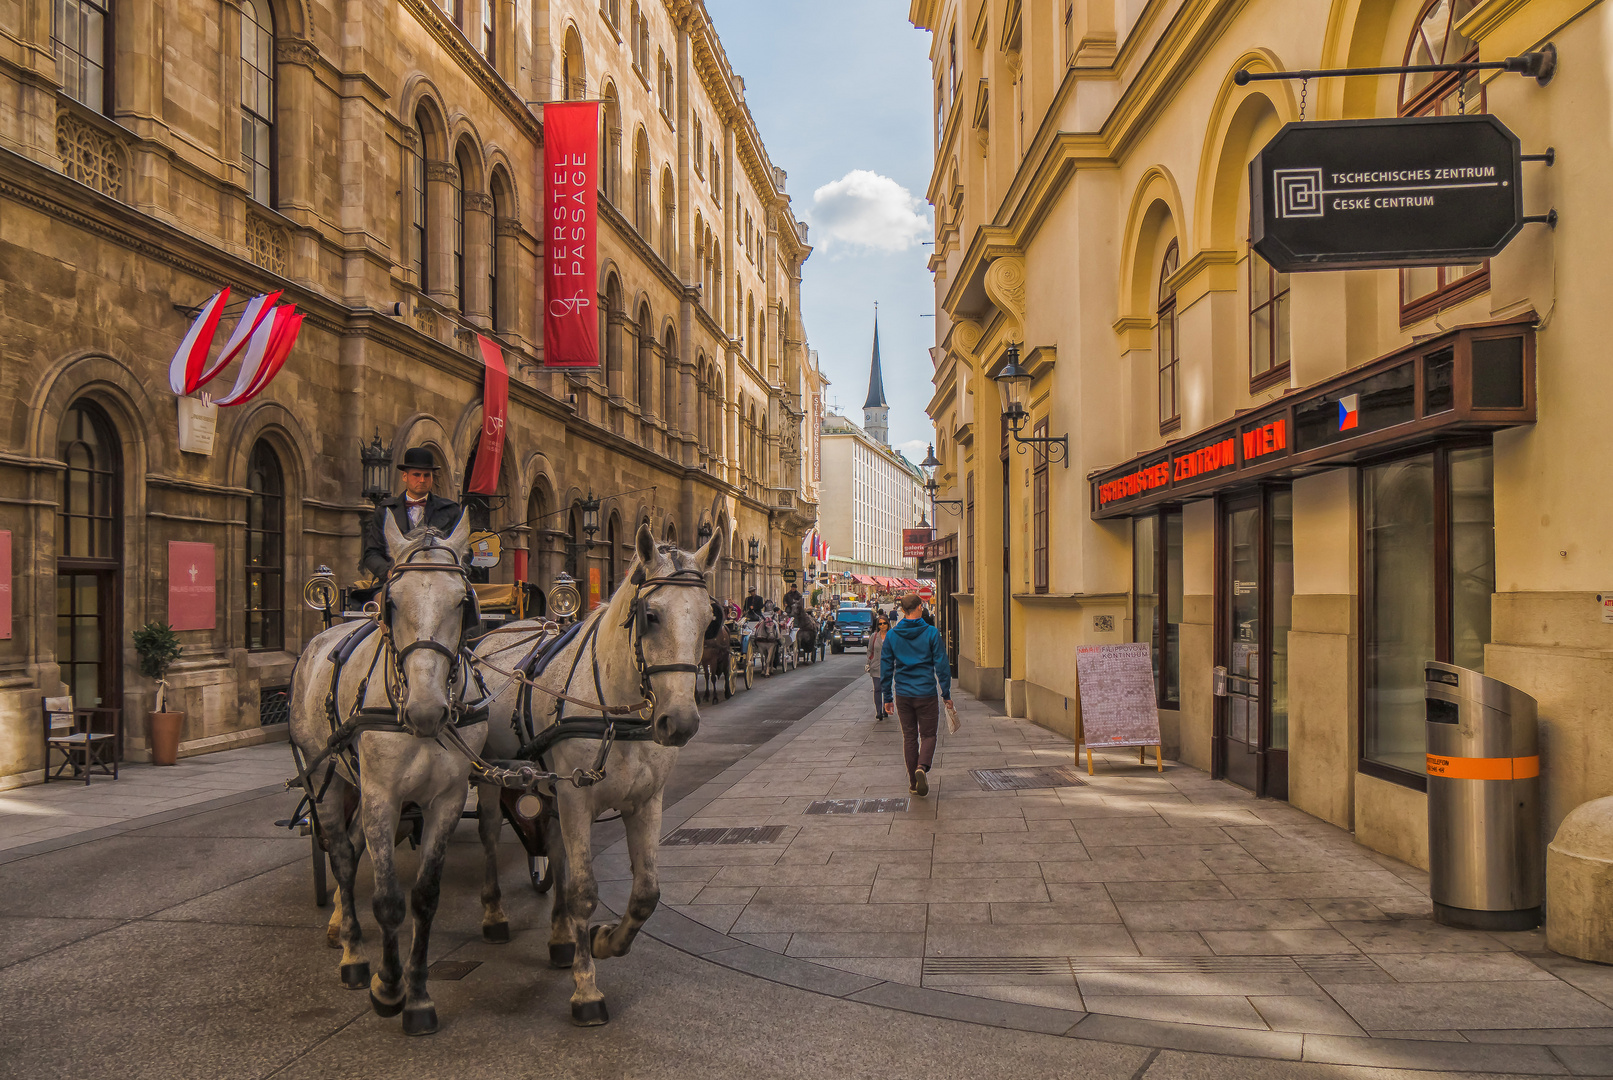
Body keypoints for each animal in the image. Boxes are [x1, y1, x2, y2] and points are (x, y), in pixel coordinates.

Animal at [287, 515, 483, 1038]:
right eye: (391, 602)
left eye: (464, 602)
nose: (427, 710)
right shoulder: (382, 796)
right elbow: (389, 899)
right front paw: (389, 988)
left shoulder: (447, 800)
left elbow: (425, 898)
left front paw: (417, 996)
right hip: (328, 777)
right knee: (340, 854)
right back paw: (353, 952)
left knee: (353, 848)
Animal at [467, 528, 719, 1025]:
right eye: (650, 616)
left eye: (707, 620)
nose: (680, 723)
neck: (617, 713)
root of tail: (495, 634)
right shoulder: (577, 799)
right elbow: (584, 890)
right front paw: (586, 990)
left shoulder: (645, 801)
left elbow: (646, 894)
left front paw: (602, 941)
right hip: (491, 775)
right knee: (487, 835)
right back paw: (494, 916)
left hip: (548, 788)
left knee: (554, 848)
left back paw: (563, 937)